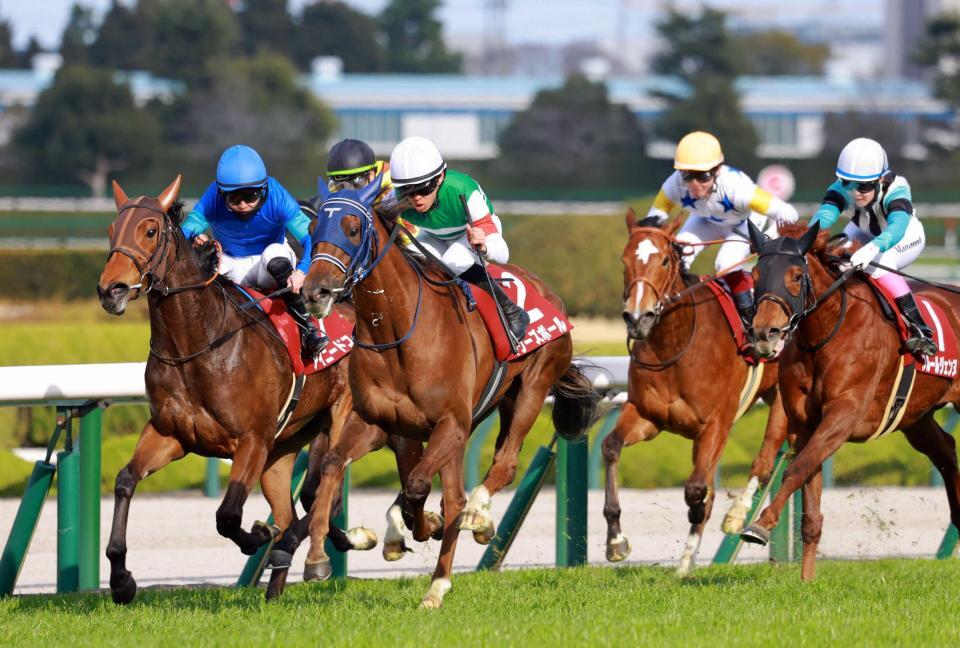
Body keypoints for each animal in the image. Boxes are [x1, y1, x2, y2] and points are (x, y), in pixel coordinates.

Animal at [96, 176, 390, 603]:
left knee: (325, 496)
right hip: (282, 451)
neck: (198, 343)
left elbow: (228, 516)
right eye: (110, 231)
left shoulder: (252, 439)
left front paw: (258, 535)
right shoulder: (170, 433)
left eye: (149, 231)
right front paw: (121, 580)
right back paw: (282, 581)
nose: (111, 290)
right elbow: (124, 481)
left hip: (337, 420)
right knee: (300, 505)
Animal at [262, 178, 600, 607]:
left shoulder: (450, 422)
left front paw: (422, 526)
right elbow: (336, 468)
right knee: (451, 493)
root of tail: (548, 292)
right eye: (314, 228)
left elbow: (418, 487)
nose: (315, 292)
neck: (398, 334)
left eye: (353, 229)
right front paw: (321, 558)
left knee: (501, 467)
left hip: (531, 387)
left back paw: (471, 527)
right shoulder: (381, 423)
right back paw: (446, 566)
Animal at [610, 211, 789, 575]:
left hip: (782, 398)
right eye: (624, 260)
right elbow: (611, 447)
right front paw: (616, 541)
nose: (637, 317)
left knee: (765, 460)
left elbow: (697, 490)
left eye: (665, 261)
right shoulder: (646, 416)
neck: (675, 345)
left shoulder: (716, 424)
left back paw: (736, 518)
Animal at [740, 221, 960, 580]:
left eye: (796, 277)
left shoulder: (843, 416)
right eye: (756, 274)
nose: (765, 333)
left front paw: (759, 525)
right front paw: (807, 580)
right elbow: (808, 500)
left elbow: (795, 470)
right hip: (916, 417)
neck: (825, 333)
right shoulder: (805, 425)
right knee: (945, 450)